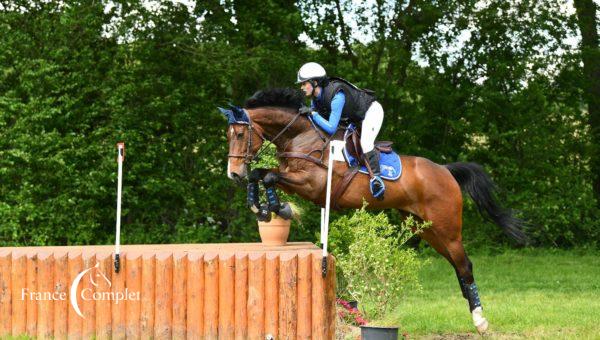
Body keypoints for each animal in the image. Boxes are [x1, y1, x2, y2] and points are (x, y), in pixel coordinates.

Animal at [220, 86, 524, 334]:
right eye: (228, 135)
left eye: (239, 134)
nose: (233, 174)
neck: (302, 137)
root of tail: (445, 170)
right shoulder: (295, 179)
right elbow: (260, 174)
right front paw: (262, 207)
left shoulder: (313, 185)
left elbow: (269, 176)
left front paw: (280, 209)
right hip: (425, 229)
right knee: (456, 264)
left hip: (447, 228)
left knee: (465, 264)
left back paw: (480, 321)